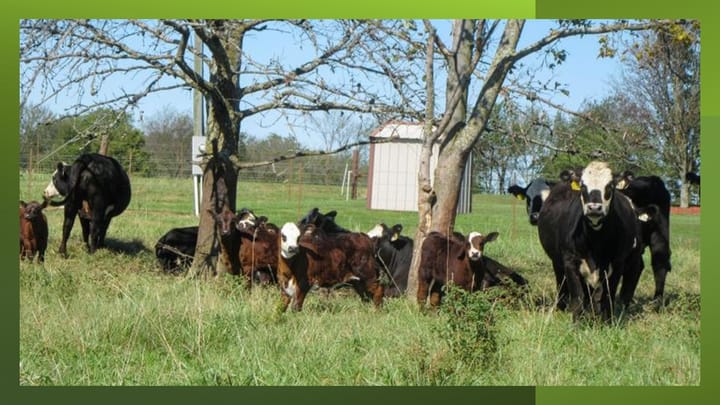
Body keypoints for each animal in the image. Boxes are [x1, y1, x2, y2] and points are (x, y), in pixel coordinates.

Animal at [537, 161, 646, 321]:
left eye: (610, 186)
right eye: (583, 186)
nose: (594, 207)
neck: (595, 243)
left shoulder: (617, 264)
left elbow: (607, 295)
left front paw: (607, 321)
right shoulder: (570, 262)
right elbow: (578, 296)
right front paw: (576, 322)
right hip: (557, 262)